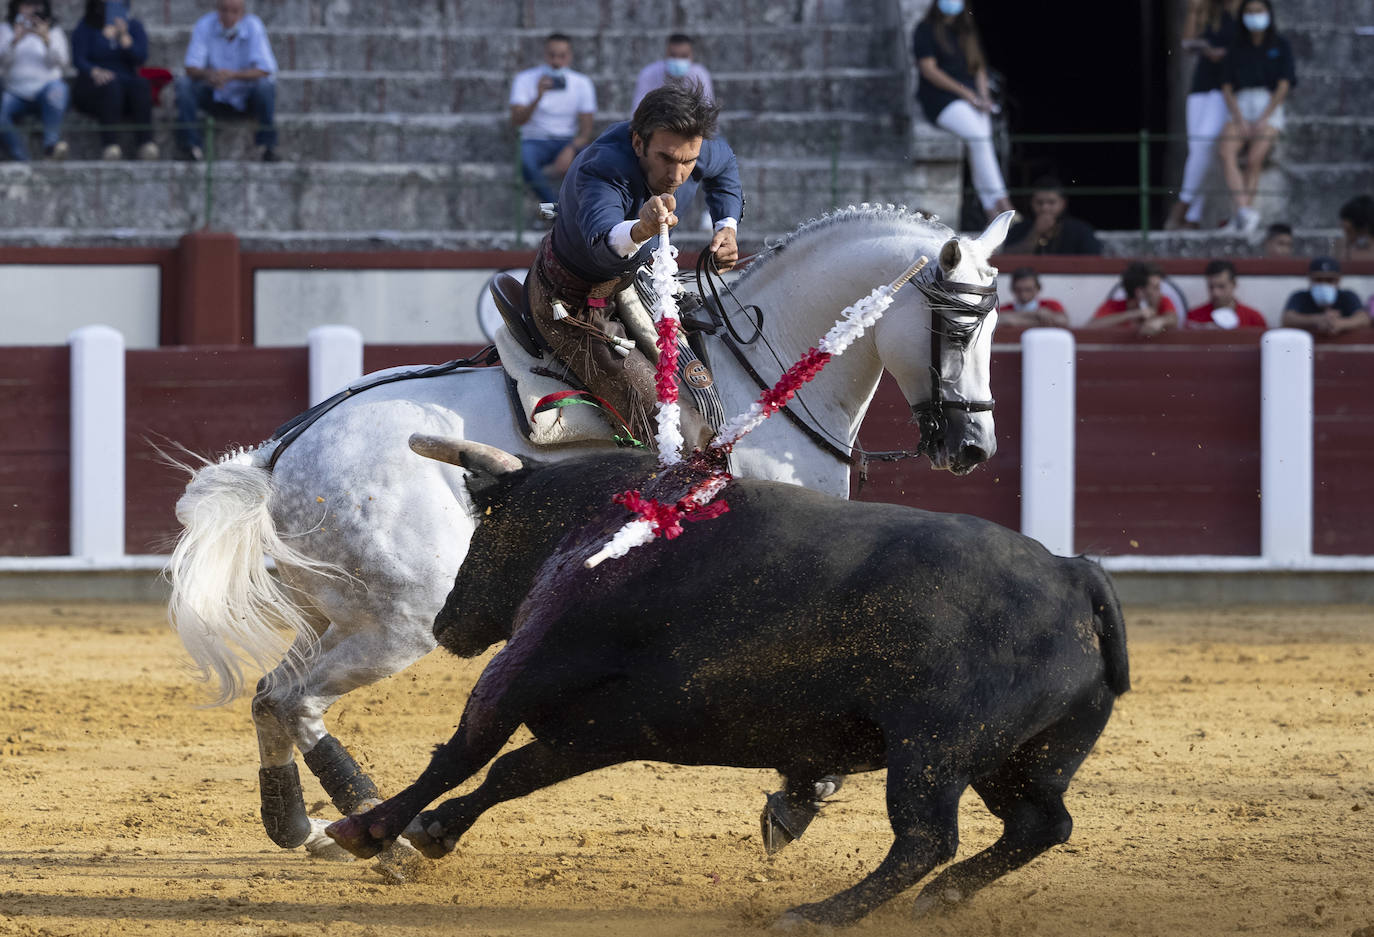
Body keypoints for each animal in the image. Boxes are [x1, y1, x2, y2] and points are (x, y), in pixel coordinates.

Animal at [169, 204, 1011, 851]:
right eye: (956, 327)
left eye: (995, 320)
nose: (973, 447)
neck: (763, 378)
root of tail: (284, 454)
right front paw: (796, 800)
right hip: (403, 619)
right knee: (297, 699)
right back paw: (375, 830)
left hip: (334, 613)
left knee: (273, 696)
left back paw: (309, 828)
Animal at [329, 447, 1126, 928]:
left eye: (485, 526)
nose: (446, 622)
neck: (600, 521)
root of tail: (1073, 573)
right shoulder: (610, 727)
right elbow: (516, 772)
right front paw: (433, 832)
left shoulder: (524, 669)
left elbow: (467, 749)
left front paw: (370, 829)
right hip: (1018, 759)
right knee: (1042, 825)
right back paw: (939, 901)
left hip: (930, 752)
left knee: (926, 838)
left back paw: (819, 913)